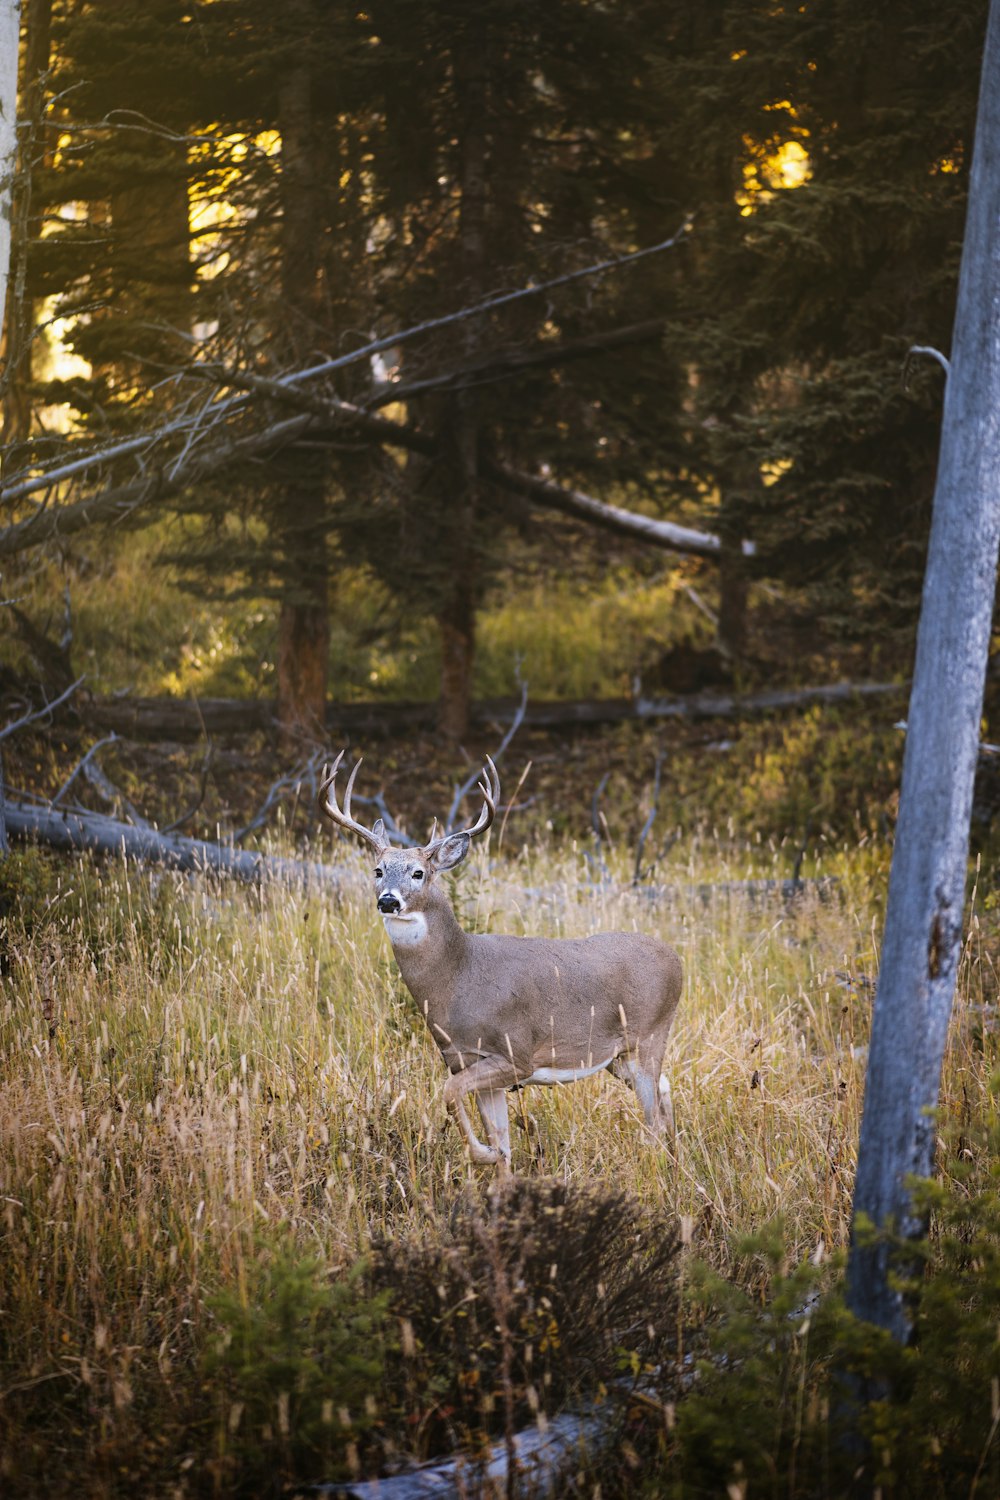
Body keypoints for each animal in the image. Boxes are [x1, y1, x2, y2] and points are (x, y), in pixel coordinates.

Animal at [316, 750, 683, 1170]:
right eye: (378, 870)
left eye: (419, 873)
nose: (388, 900)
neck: (458, 977)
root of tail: (677, 960)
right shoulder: (464, 1058)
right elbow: (501, 1139)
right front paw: (497, 1164)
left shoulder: (515, 1053)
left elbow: (449, 1093)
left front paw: (482, 1154)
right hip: (618, 1057)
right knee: (666, 1092)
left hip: (649, 1035)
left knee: (653, 1118)